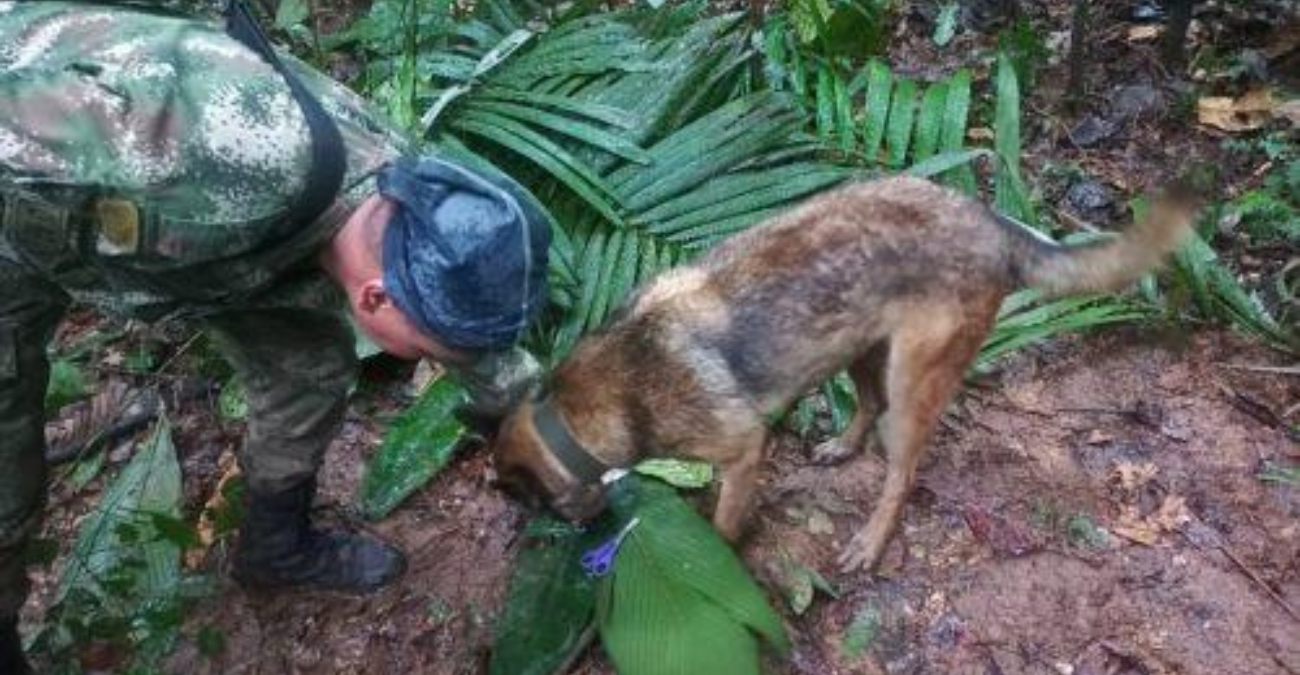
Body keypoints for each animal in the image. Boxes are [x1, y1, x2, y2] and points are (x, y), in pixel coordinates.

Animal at [488, 176, 1196, 572]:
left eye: (532, 504)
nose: (579, 534)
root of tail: (991, 222)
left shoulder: (742, 451)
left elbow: (722, 523)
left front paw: (717, 557)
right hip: (858, 344)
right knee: (867, 403)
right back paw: (841, 447)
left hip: (913, 383)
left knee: (901, 472)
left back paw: (871, 542)